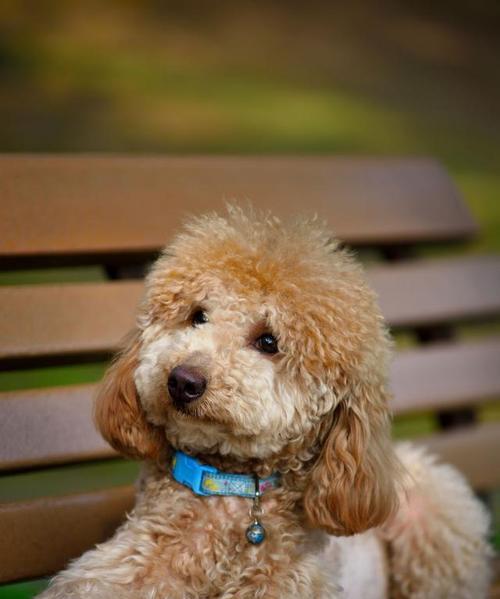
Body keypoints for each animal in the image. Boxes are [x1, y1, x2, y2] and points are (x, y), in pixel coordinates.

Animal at [40, 209, 492, 596]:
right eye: (197, 315)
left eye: (269, 342)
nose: (182, 381)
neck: (230, 487)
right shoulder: (119, 570)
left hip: (433, 513)